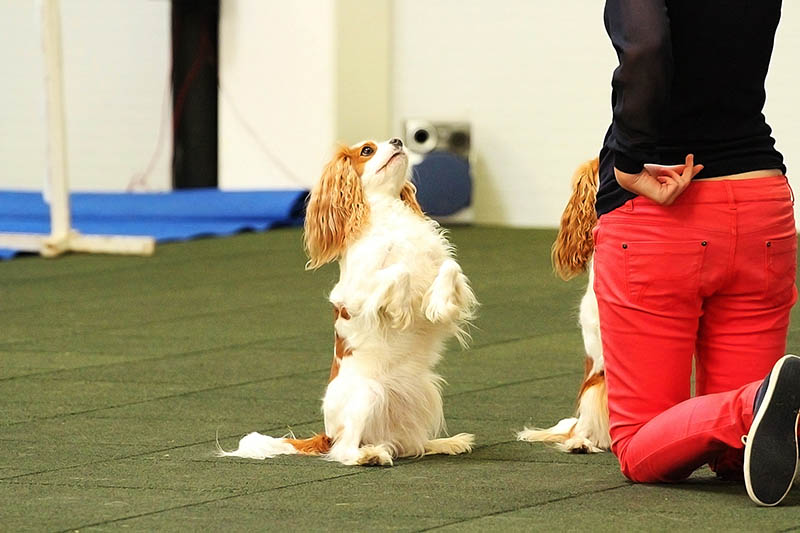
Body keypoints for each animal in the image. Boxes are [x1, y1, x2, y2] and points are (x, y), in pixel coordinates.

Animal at [216, 138, 478, 466]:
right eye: (367, 150)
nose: (398, 140)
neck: (390, 215)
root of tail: (326, 435)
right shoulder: (355, 293)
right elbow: (399, 271)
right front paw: (401, 309)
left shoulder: (437, 264)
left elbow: (449, 267)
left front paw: (438, 304)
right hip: (368, 394)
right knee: (346, 450)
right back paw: (370, 455)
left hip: (425, 391)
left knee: (409, 446)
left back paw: (445, 442)